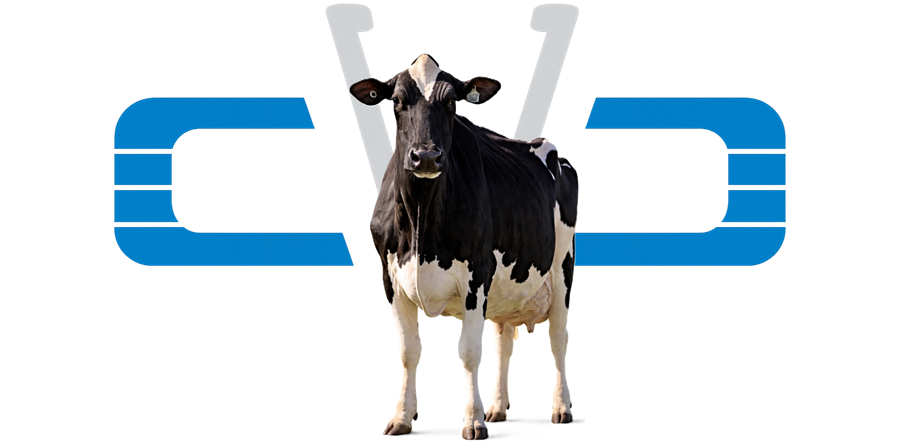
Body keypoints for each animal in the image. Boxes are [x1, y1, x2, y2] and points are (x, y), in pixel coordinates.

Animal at [350, 54, 578, 440]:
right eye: (396, 103)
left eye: (452, 104)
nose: (426, 156)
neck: (421, 224)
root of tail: (549, 149)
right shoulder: (390, 279)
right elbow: (408, 351)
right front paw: (402, 417)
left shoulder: (477, 275)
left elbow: (469, 352)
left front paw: (473, 421)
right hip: (507, 290)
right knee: (505, 340)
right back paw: (497, 409)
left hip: (563, 267)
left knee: (558, 339)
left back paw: (561, 408)